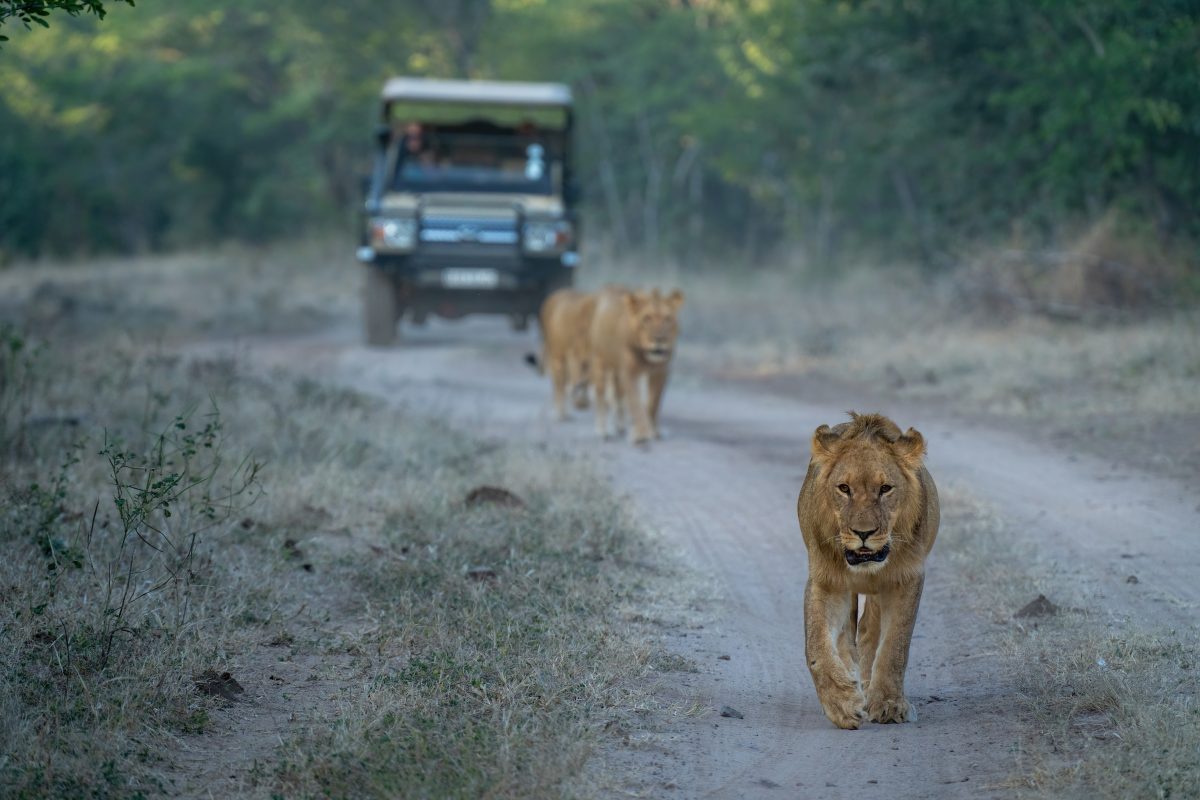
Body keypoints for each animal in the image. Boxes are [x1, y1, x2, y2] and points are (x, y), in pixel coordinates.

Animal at [583, 286, 681, 443]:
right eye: (647, 318)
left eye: (668, 318)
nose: (660, 339)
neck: (646, 356)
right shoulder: (629, 373)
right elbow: (635, 403)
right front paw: (641, 435)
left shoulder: (661, 372)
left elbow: (653, 403)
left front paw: (653, 430)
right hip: (600, 361)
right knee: (601, 398)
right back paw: (603, 431)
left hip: (617, 371)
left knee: (618, 397)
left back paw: (620, 426)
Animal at [796, 412, 936, 734]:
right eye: (844, 488)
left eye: (885, 489)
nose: (863, 533)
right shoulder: (827, 581)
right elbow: (817, 646)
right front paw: (842, 702)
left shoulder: (906, 578)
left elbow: (895, 646)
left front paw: (889, 704)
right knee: (847, 637)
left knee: (870, 632)